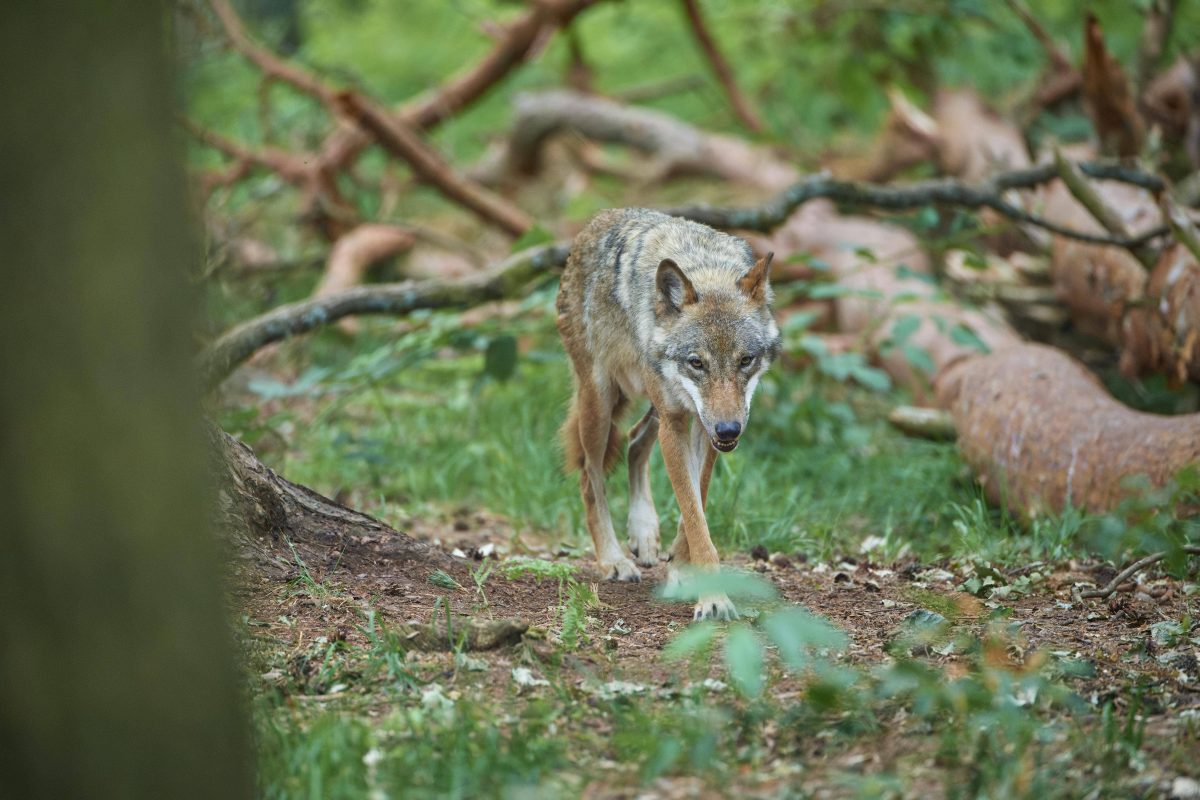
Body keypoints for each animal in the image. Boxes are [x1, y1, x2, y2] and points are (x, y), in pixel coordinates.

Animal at [556, 209, 782, 623]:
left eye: (745, 360)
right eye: (697, 363)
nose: (730, 430)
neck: (705, 267)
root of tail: (595, 223)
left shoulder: (701, 429)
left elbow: (695, 507)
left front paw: (681, 571)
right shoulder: (678, 423)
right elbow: (694, 515)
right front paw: (713, 599)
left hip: (654, 405)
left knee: (634, 441)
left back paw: (644, 533)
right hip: (601, 403)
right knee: (589, 476)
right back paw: (613, 559)